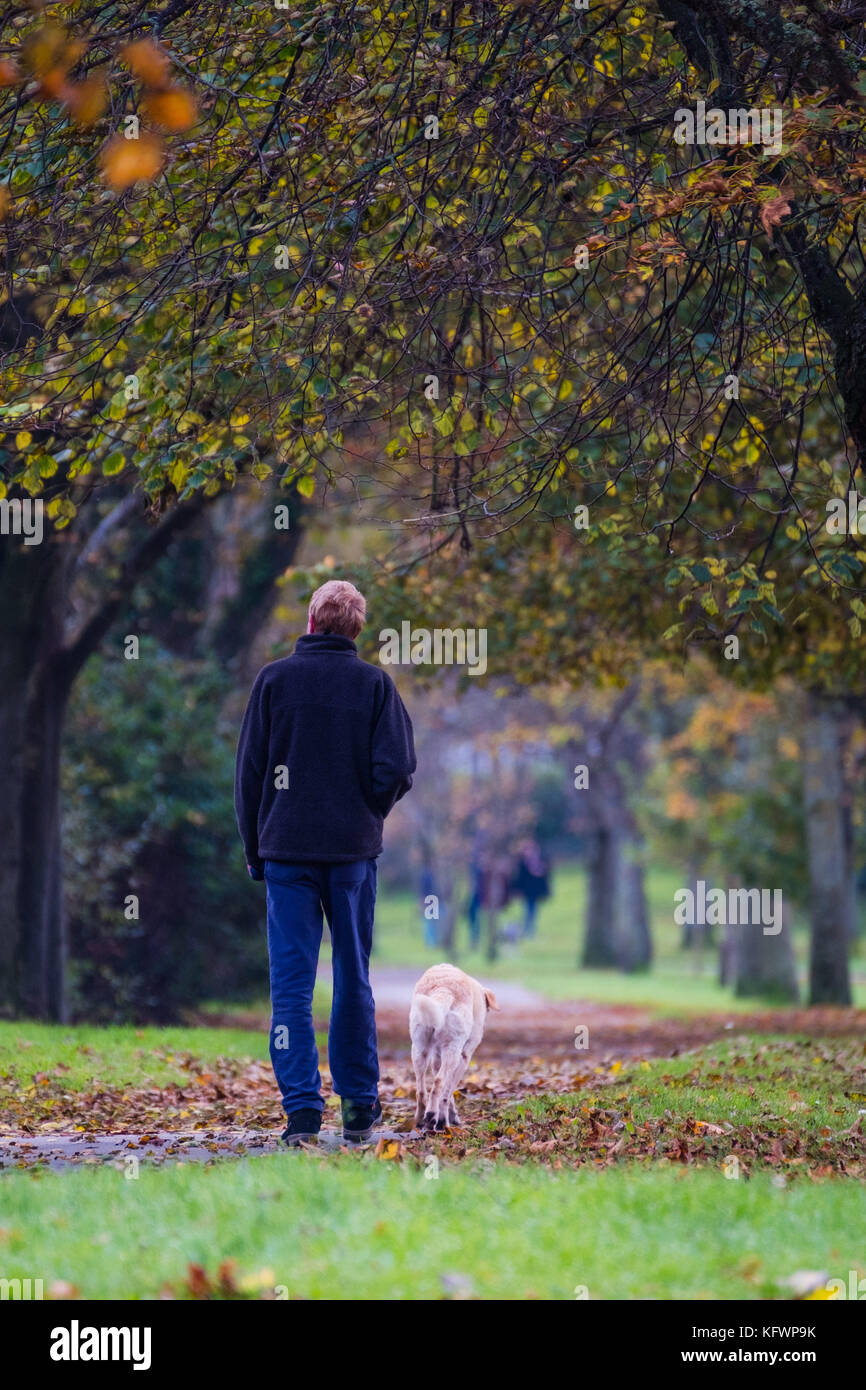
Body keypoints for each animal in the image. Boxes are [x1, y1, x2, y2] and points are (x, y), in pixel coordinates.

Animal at [408, 967, 497, 1128]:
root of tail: (444, 988)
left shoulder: (437, 1059)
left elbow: (447, 1092)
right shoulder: (465, 1057)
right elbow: (448, 1093)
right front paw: (447, 1117)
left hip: (419, 1049)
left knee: (421, 1090)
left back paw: (421, 1117)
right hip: (453, 1053)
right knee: (439, 1083)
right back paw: (435, 1116)